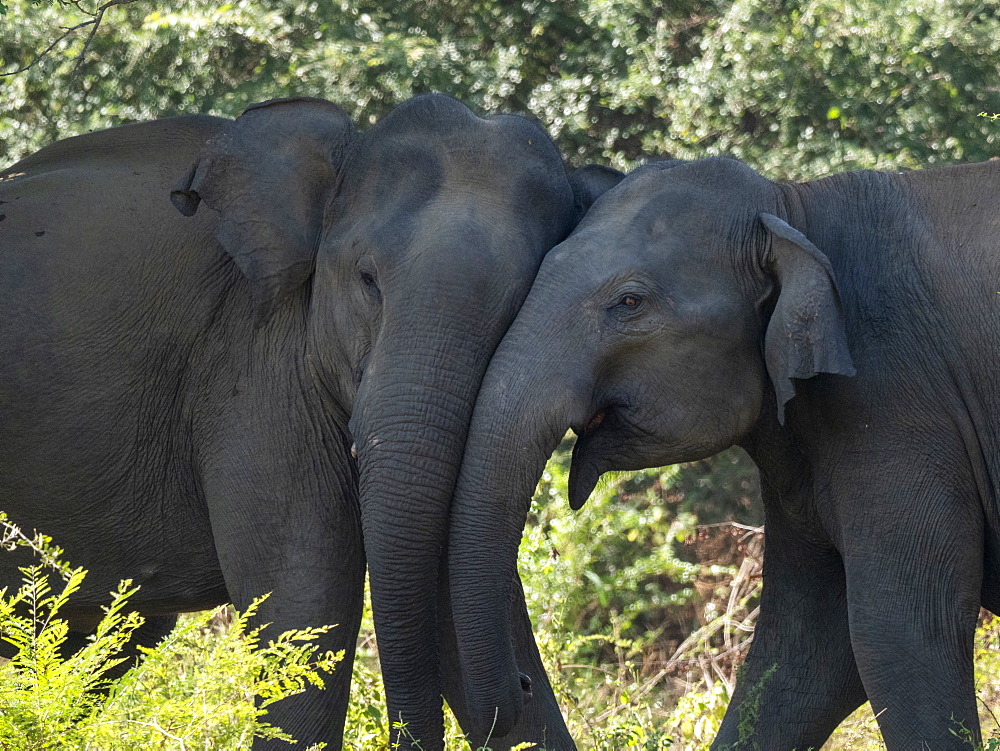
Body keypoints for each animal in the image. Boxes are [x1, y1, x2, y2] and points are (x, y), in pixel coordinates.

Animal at [446, 156, 1000, 748]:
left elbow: (901, 630)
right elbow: (806, 651)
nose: (525, 685)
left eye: (629, 302)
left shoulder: (898, 402)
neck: (789, 207)